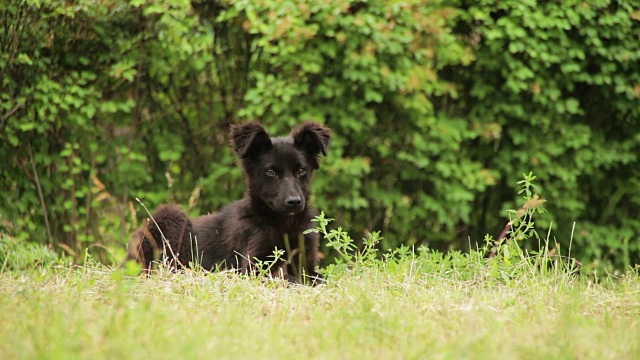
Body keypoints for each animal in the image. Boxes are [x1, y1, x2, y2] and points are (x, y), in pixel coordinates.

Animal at [127, 121, 332, 284]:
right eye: (270, 172)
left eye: (301, 170)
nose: (294, 202)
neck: (284, 224)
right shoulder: (252, 267)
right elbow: (285, 277)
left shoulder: (306, 262)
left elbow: (318, 278)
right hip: (172, 217)